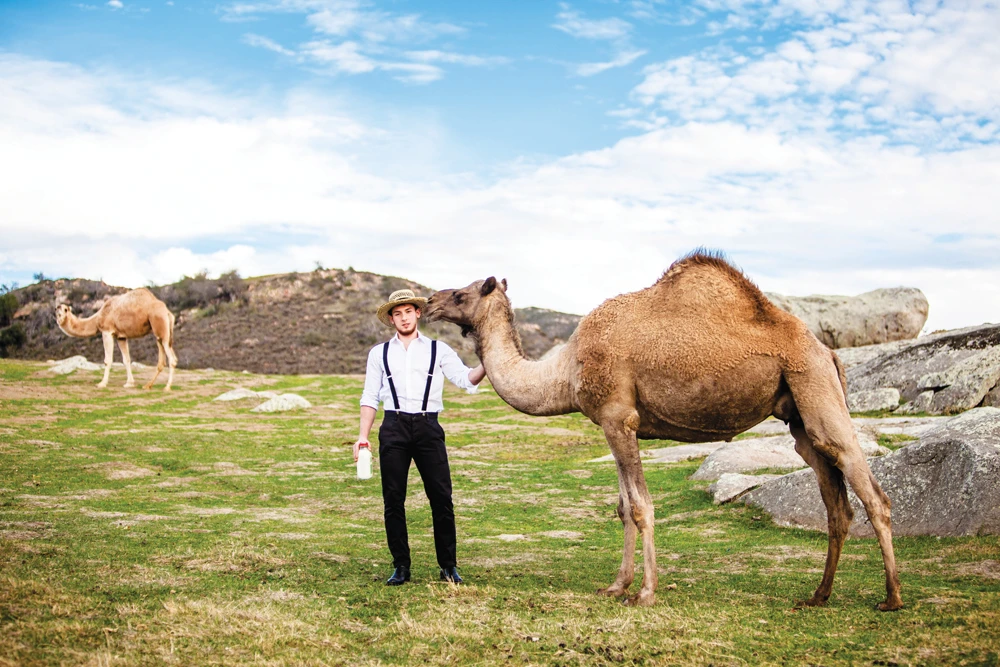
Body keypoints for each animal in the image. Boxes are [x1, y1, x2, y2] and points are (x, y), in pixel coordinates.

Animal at [426, 252, 902, 611]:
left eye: (461, 292)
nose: (429, 300)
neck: (565, 369)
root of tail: (828, 351)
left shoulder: (619, 417)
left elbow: (640, 507)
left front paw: (645, 593)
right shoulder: (613, 424)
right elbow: (623, 508)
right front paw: (616, 586)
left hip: (815, 387)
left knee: (872, 493)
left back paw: (891, 598)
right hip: (800, 417)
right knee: (835, 502)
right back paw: (818, 595)